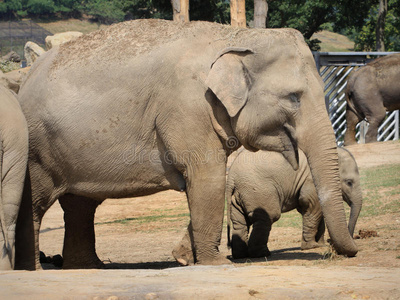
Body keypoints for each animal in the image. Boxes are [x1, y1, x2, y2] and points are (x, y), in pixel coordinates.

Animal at [16, 19, 360, 270]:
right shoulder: (188, 107)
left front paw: (184, 257)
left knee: (80, 206)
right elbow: (207, 177)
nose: (346, 250)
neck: (233, 36)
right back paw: (33, 269)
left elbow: (203, 187)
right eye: (294, 98)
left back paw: (88, 267)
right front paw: (216, 263)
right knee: (36, 204)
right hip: (37, 149)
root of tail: (25, 78)